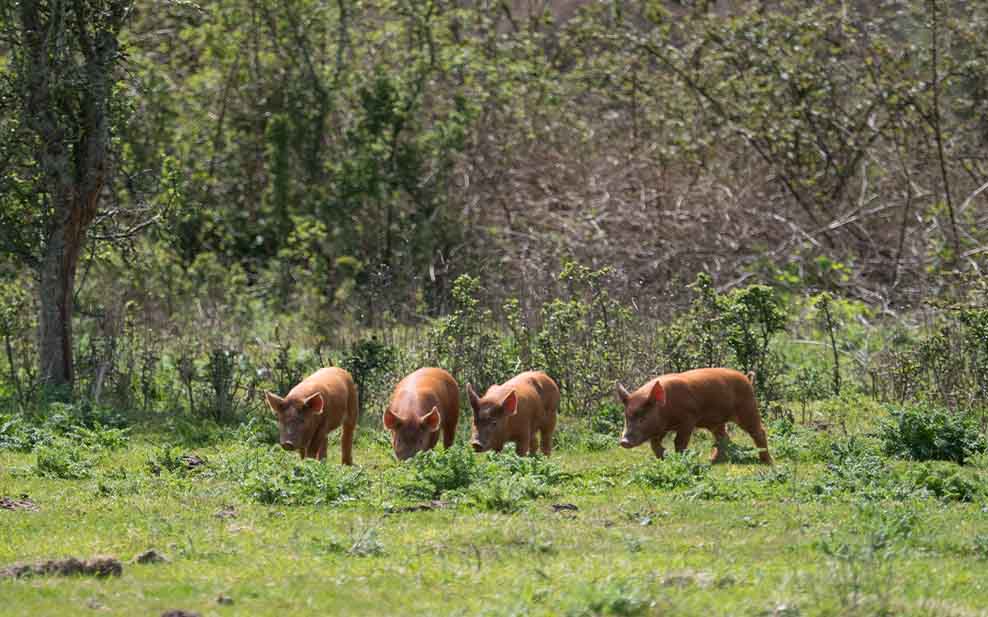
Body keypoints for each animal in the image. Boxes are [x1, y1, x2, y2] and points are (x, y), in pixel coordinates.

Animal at [616, 366, 772, 462]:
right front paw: (664, 457)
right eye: (627, 417)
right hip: (716, 422)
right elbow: (654, 444)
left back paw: (767, 461)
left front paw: (678, 459)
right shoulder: (660, 428)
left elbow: (679, 442)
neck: (666, 410)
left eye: (643, 418)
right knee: (723, 438)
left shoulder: (688, 419)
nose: (624, 442)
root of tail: (746, 378)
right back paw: (712, 460)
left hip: (748, 408)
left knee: (759, 432)